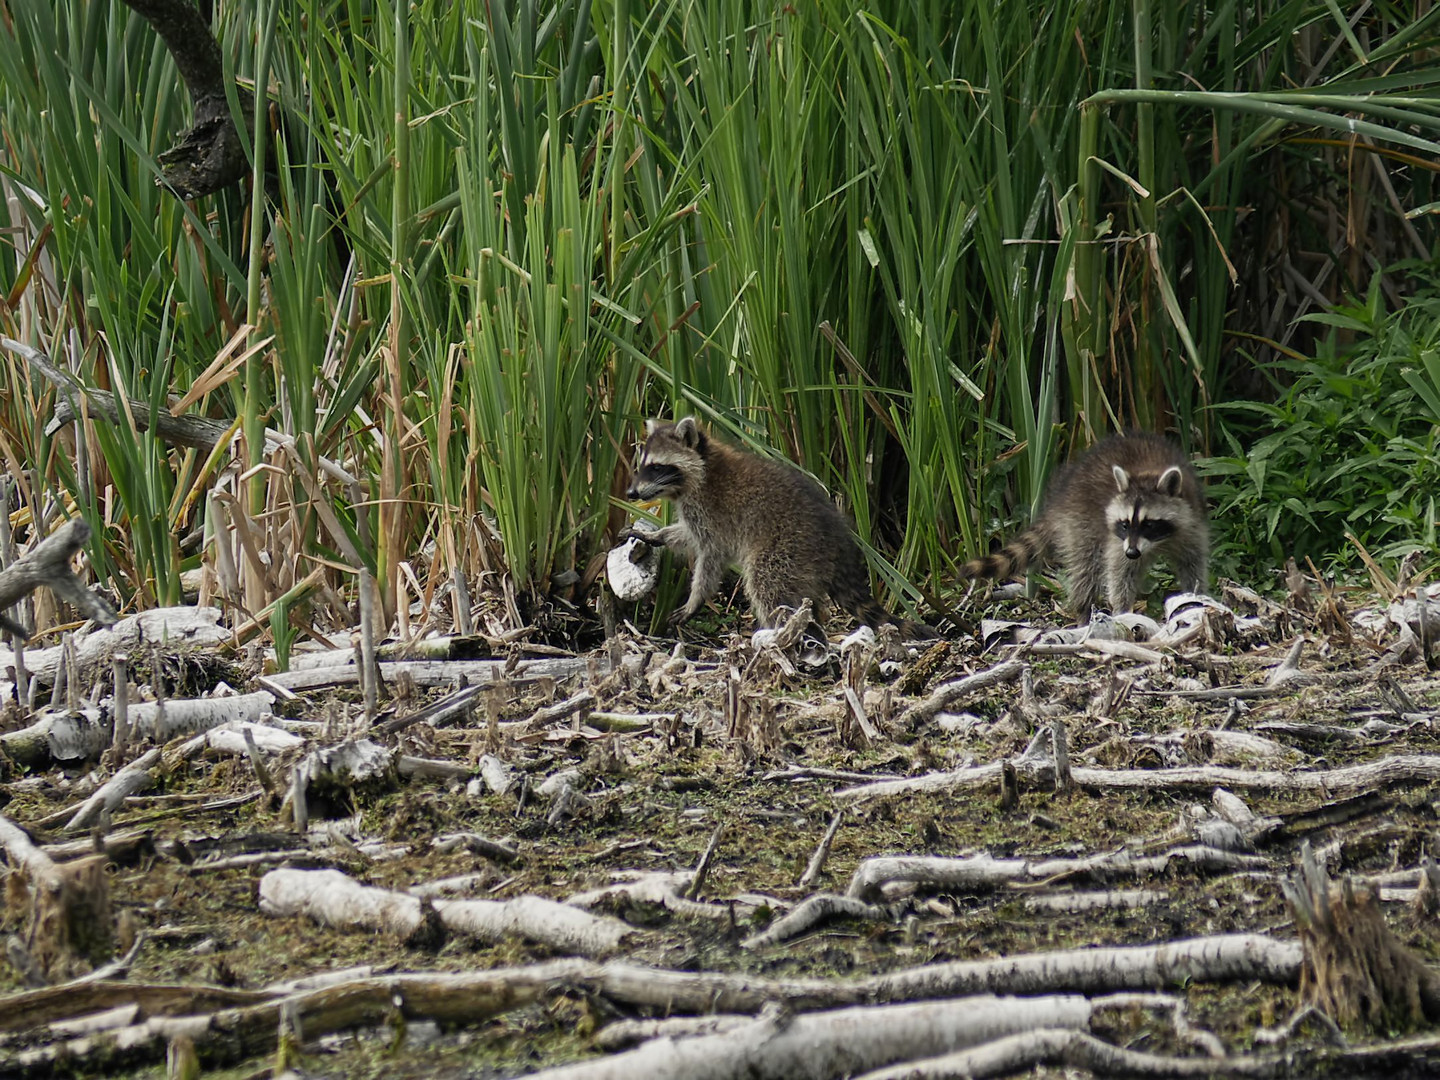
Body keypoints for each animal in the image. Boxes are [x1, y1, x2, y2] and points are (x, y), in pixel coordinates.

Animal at [619, 411, 933, 633]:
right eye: (641, 465)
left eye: (656, 467)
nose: (630, 493)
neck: (701, 469)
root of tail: (838, 538)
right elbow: (686, 535)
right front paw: (658, 536)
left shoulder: (712, 514)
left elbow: (710, 557)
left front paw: (695, 599)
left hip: (790, 546)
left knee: (767, 584)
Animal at [961, 434, 1209, 624]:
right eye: (1125, 524)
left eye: (1148, 524)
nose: (1132, 552)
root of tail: (1060, 497)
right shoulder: (1118, 540)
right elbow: (1120, 572)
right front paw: (1122, 609)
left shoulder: (1192, 523)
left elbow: (1192, 563)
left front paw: (1196, 596)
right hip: (1079, 519)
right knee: (1085, 567)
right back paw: (1083, 611)